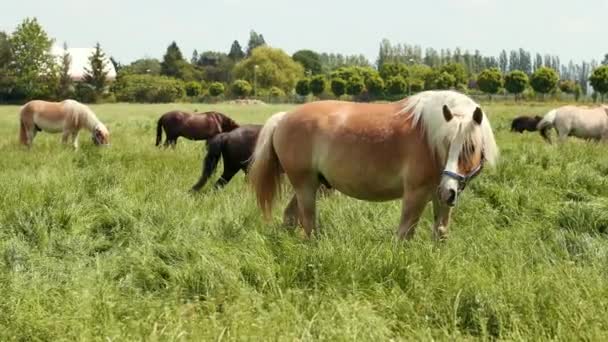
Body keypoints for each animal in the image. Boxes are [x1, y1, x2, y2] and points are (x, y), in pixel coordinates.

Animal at [248, 89, 498, 242]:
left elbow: (441, 232)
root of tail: (283, 117)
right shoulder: (415, 194)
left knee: (291, 217)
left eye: (470, 148)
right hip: (305, 186)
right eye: (447, 143)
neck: (430, 137)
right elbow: (405, 233)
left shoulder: (440, 197)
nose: (448, 190)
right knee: (308, 222)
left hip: (310, 185)